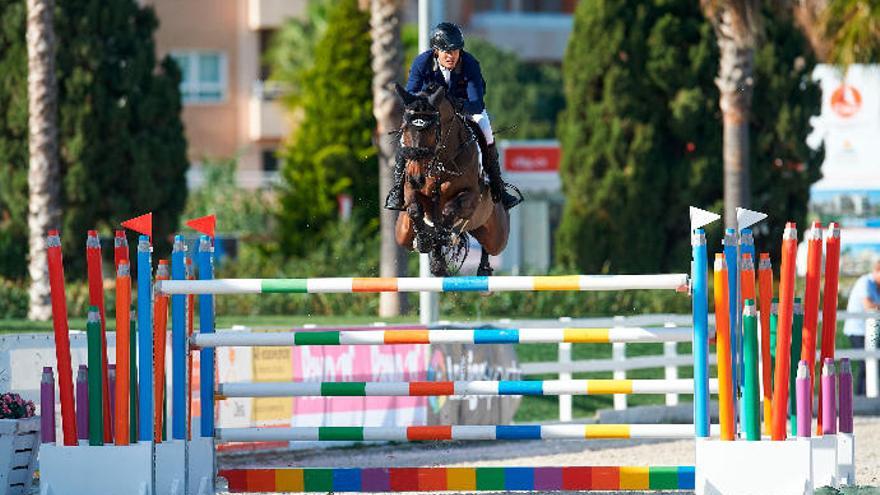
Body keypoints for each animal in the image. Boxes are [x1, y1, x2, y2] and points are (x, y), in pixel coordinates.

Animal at [392, 85, 508, 280]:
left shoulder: (471, 197)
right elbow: (415, 208)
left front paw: (442, 237)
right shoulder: (410, 190)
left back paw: (481, 268)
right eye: (404, 129)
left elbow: (449, 211)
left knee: (488, 246)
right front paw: (424, 240)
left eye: (432, 132)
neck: (441, 162)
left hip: (497, 236)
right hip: (402, 233)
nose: (416, 178)